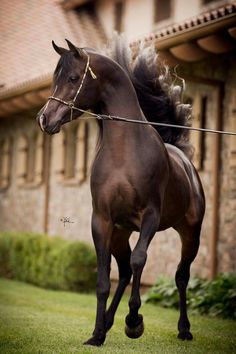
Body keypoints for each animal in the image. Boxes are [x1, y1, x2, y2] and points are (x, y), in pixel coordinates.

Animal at [36, 38, 205, 346]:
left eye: (73, 78)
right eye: (55, 78)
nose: (44, 120)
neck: (124, 153)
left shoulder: (150, 217)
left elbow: (141, 259)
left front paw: (134, 321)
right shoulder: (102, 221)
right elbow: (103, 281)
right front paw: (96, 335)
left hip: (190, 233)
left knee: (180, 276)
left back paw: (183, 329)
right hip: (119, 233)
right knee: (125, 272)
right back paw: (108, 323)